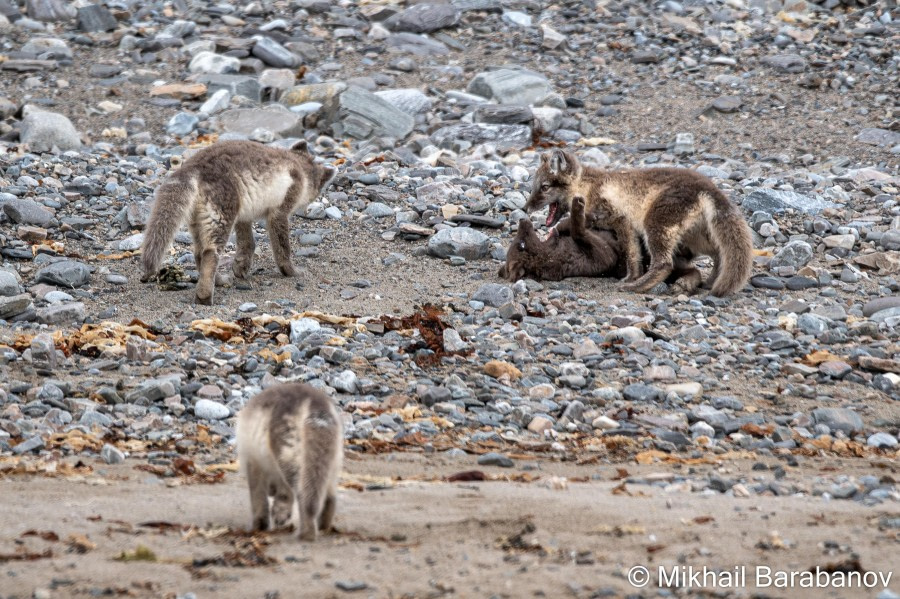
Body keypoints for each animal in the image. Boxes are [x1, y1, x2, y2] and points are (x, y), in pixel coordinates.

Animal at [139, 140, 336, 304]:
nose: (309, 205)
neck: (299, 168)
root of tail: (192, 168)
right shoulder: (279, 212)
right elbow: (282, 248)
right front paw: (291, 272)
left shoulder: (244, 216)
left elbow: (248, 243)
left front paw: (240, 268)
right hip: (221, 216)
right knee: (210, 254)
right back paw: (204, 297)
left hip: (199, 221)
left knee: (199, 254)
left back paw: (219, 281)